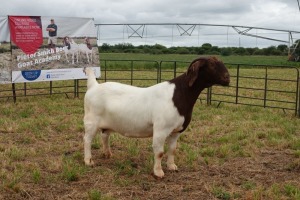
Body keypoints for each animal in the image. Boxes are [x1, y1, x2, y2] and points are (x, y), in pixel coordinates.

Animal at [83, 56, 231, 178]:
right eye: (211, 64)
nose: (227, 78)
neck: (179, 95)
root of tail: (93, 86)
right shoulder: (161, 129)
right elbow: (159, 152)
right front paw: (158, 172)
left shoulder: (176, 131)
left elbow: (172, 149)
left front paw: (172, 166)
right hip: (91, 121)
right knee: (87, 139)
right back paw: (88, 161)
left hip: (107, 123)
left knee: (105, 135)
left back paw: (107, 154)